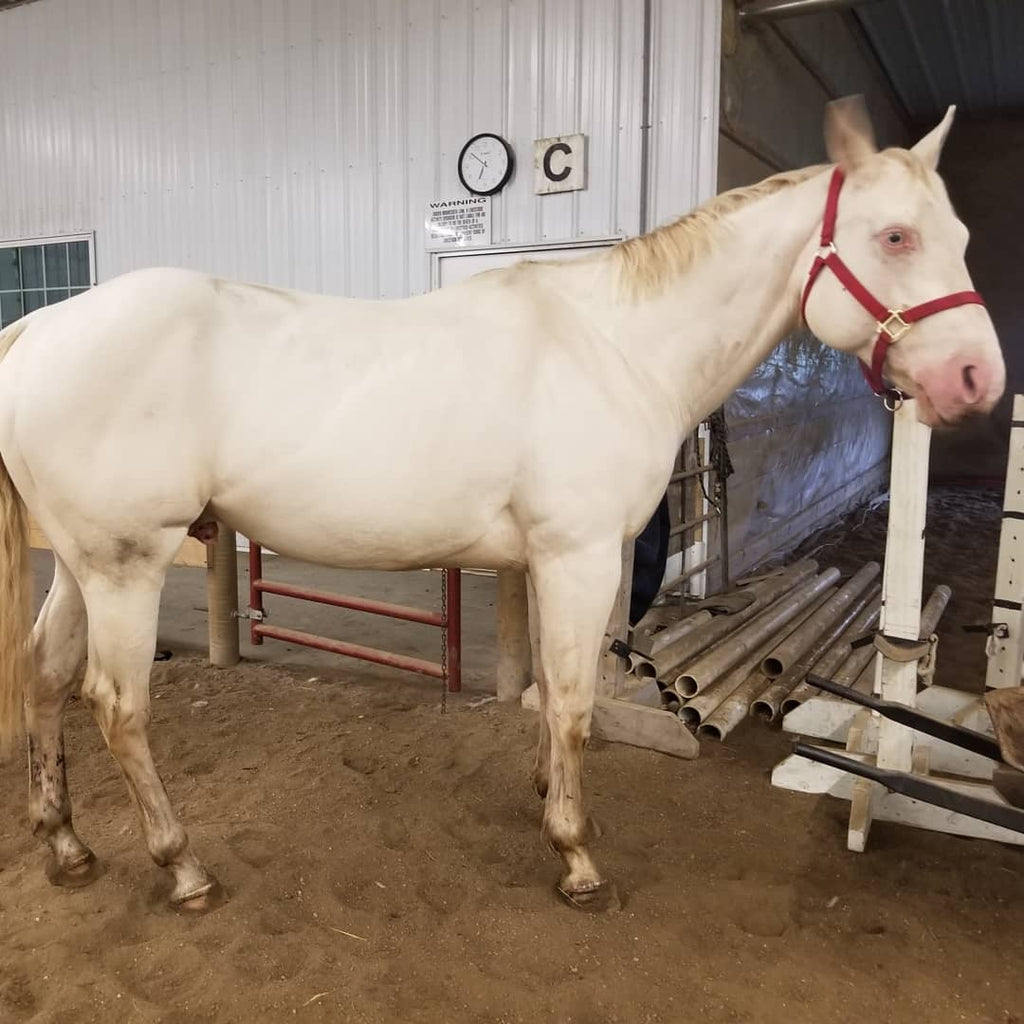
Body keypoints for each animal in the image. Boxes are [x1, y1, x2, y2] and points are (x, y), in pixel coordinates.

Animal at [0, 97, 1003, 913]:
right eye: (895, 237)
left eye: (959, 234)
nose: (976, 379)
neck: (615, 343)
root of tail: (37, 328)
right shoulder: (580, 556)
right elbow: (572, 702)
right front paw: (577, 858)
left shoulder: (561, 564)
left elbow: (559, 697)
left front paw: (548, 801)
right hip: (127, 565)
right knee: (117, 705)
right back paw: (183, 869)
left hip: (85, 568)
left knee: (46, 677)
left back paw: (68, 847)